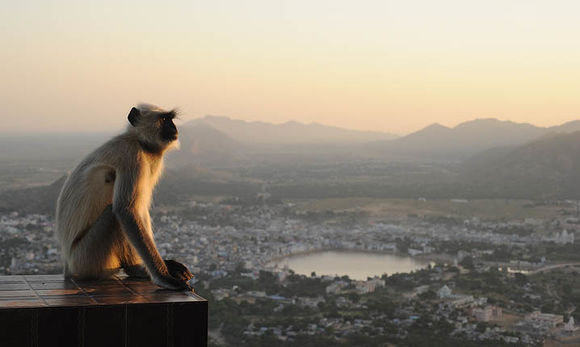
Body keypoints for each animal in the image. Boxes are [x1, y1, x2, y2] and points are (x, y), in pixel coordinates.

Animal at [55, 104, 194, 290]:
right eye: (164, 119)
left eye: (171, 119)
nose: (174, 128)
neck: (139, 141)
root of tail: (68, 267)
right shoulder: (132, 156)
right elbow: (126, 210)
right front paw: (164, 277)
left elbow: (140, 209)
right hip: (85, 259)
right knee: (115, 215)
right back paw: (135, 269)